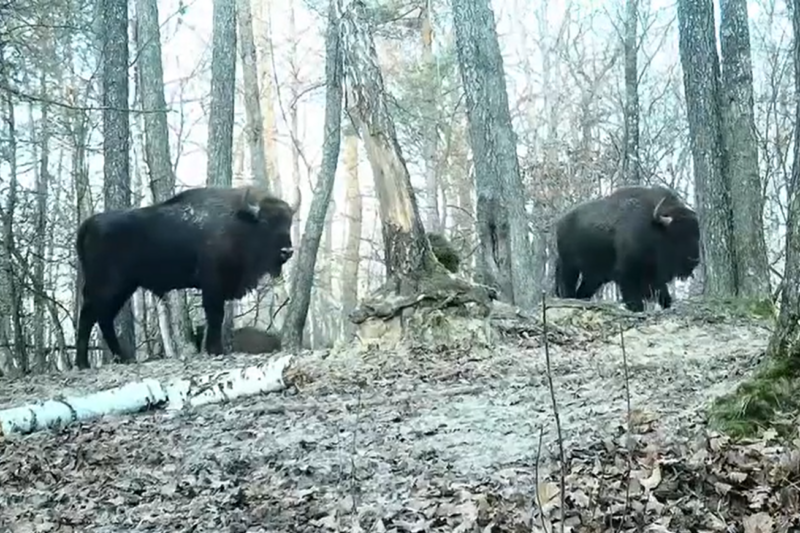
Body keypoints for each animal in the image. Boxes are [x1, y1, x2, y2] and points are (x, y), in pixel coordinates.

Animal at [74, 185, 296, 368]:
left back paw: (113, 360)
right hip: (110, 286)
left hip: (122, 288)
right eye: (265, 222)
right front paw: (216, 350)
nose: (287, 251)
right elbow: (215, 315)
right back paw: (91, 362)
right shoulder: (213, 284)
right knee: (92, 317)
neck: (240, 223)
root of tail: (88, 224)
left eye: (289, 223)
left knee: (99, 318)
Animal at [556, 186, 700, 314]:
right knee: (568, 287)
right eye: (677, 236)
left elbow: (663, 295)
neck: (654, 227)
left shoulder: (655, 278)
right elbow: (635, 299)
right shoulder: (627, 275)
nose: (694, 260)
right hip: (570, 268)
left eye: (697, 235)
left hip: (594, 278)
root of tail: (560, 223)